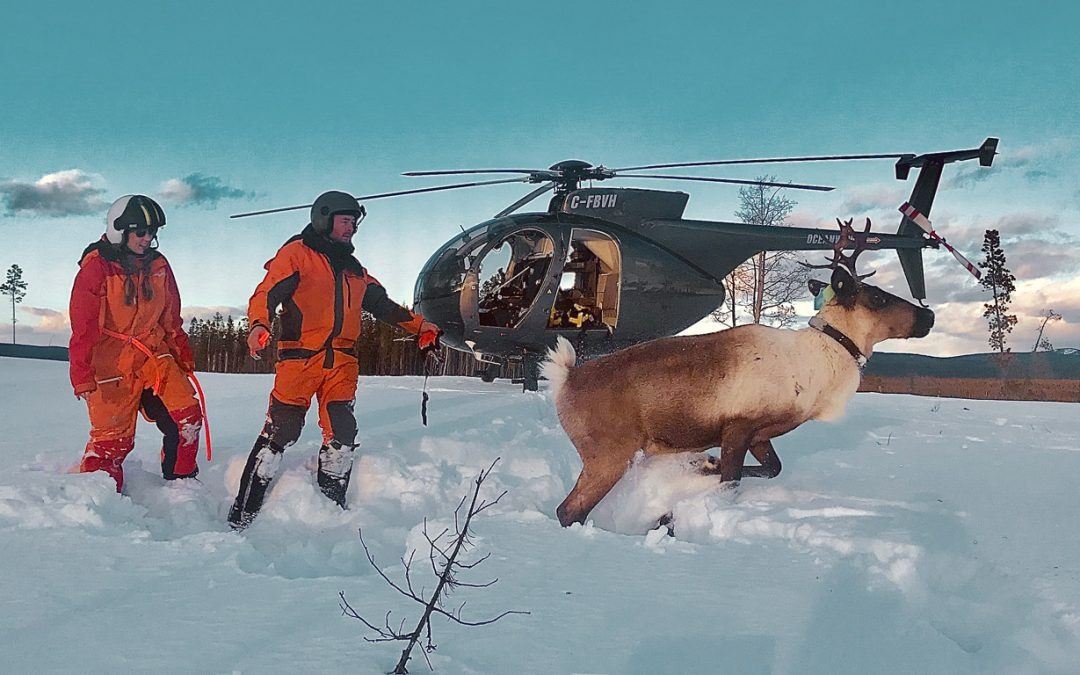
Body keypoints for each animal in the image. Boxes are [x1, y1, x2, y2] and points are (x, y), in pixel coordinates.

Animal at [542, 219, 935, 528]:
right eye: (878, 297)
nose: (929, 316)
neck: (819, 372)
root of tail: (565, 379)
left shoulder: (761, 434)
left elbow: (771, 469)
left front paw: (704, 464)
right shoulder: (737, 427)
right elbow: (731, 480)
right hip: (608, 455)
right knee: (568, 510)